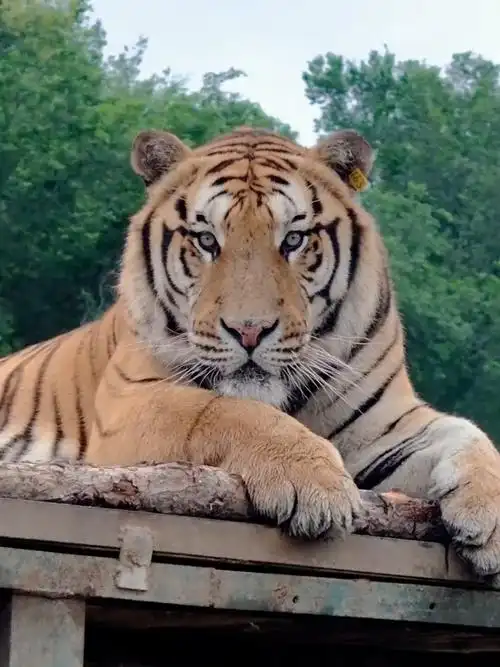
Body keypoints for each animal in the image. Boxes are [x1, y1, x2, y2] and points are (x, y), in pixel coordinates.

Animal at [1, 125, 500, 584]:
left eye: (294, 240)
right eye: (206, 240)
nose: (249, 331)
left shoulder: (382, 425)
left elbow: (468, 433)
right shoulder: (132, 404)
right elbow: (223, 410)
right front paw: (317, 483)